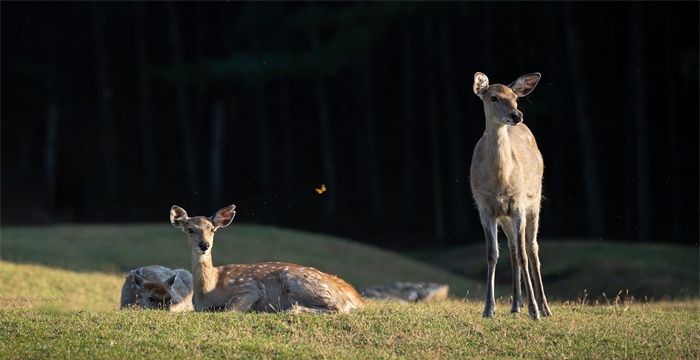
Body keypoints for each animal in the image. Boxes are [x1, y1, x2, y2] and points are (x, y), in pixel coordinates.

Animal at [171, 204, 366, 314]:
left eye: (212, 229)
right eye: (190, 229)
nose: (204, 245)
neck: (209, 289)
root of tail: (357, 299)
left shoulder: (249, 287)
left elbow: (229, 310)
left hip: (297, 281)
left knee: (339, 308)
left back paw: (291, 310)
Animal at [470, 71, 552, 320]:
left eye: (515, 97)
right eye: (494, 97)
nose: (517, 115)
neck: (500, 182)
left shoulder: (518, 206)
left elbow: (525, 255)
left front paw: (534, 310)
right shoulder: (485, 208)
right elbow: (492, 254)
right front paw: (488, 309)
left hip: (534, 202)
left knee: (531, 248)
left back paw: (544, 307)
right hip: (505, 217)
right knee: (514, 249)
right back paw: (516, 304)